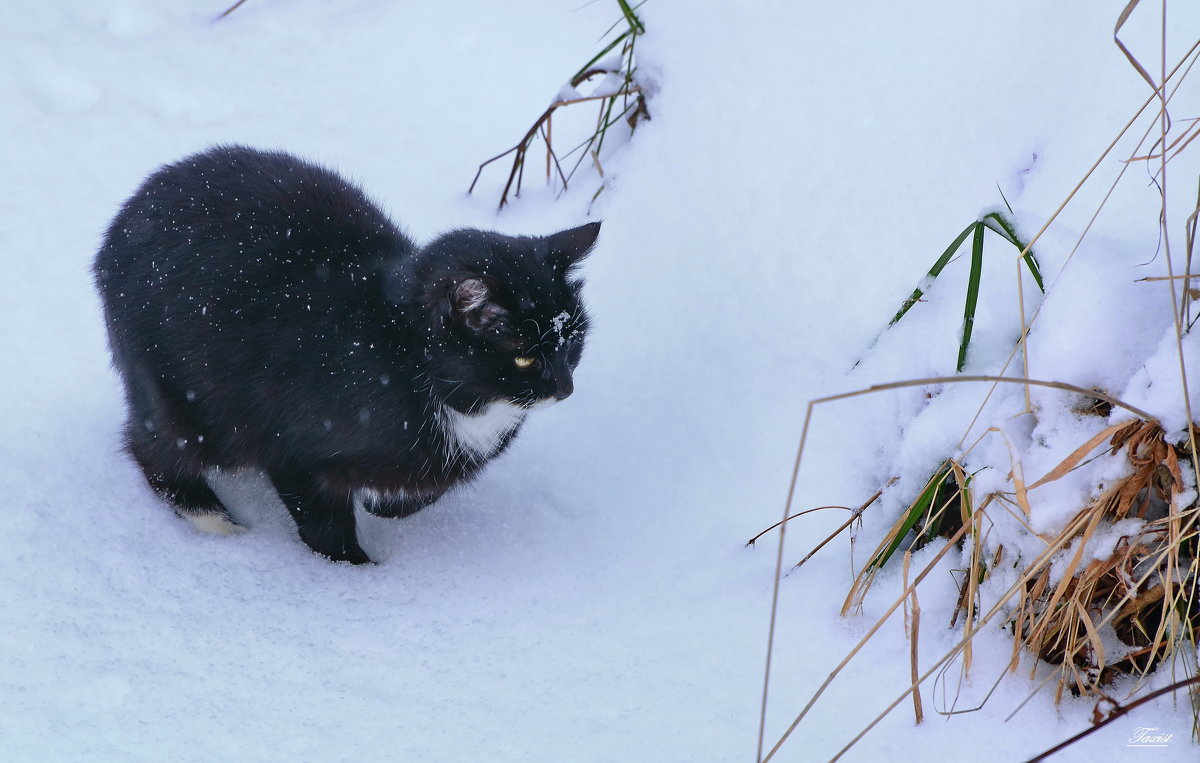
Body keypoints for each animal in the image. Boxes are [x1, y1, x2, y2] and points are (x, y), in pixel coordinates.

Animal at [93, 144, 600, 561]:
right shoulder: (293, 444)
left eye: (573, 341)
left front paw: (384, 505)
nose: (566, 388)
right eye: (523, 356)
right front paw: (354, 574)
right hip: (179, 392)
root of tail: (126, 215)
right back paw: (216, 523)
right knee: (155, 446)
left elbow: (421, 491)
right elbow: (324, 524)